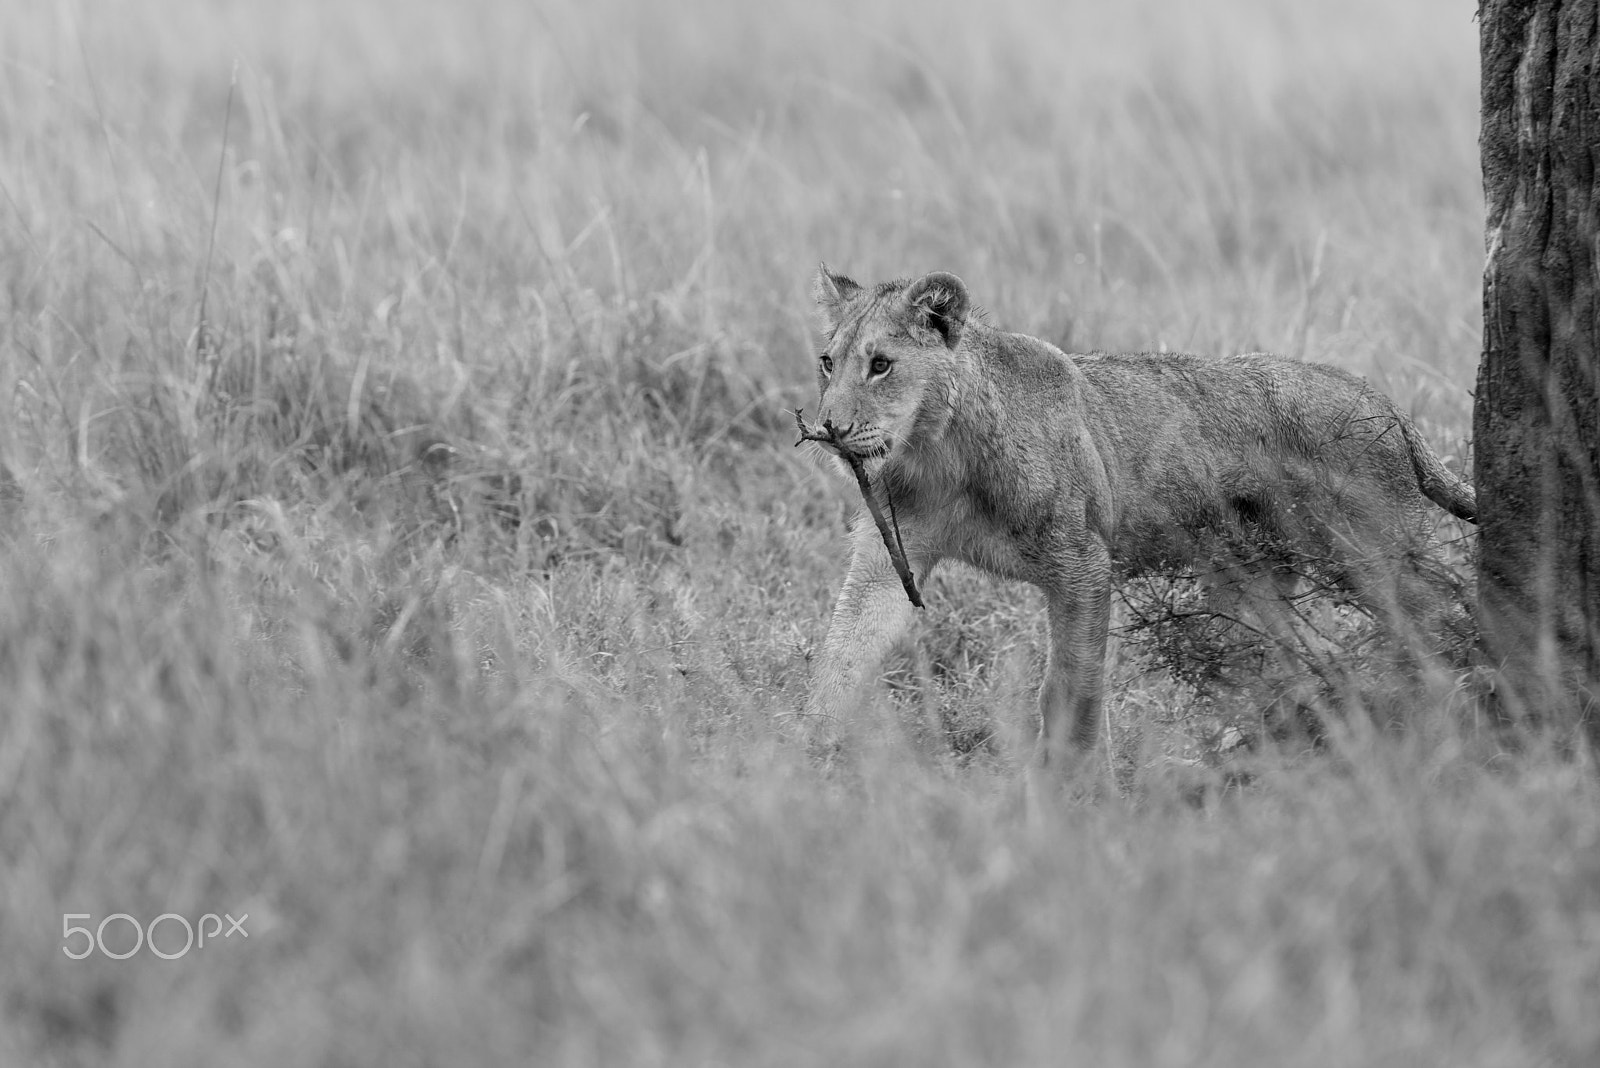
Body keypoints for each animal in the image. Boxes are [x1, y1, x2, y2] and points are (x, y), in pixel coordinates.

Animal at [801, 265, 1477, 773]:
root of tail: (1381, 399)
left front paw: (1073, 792)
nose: (830, 428)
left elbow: (1073, 688)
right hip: (1247, 583)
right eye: (828, 363)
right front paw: (802, 762)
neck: (936, 450)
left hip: (1373, 552)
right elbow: (842, 656)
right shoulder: (890, 559)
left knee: (1435, 616)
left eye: (882, 364)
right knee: (1309, 660)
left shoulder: (1082, 562)